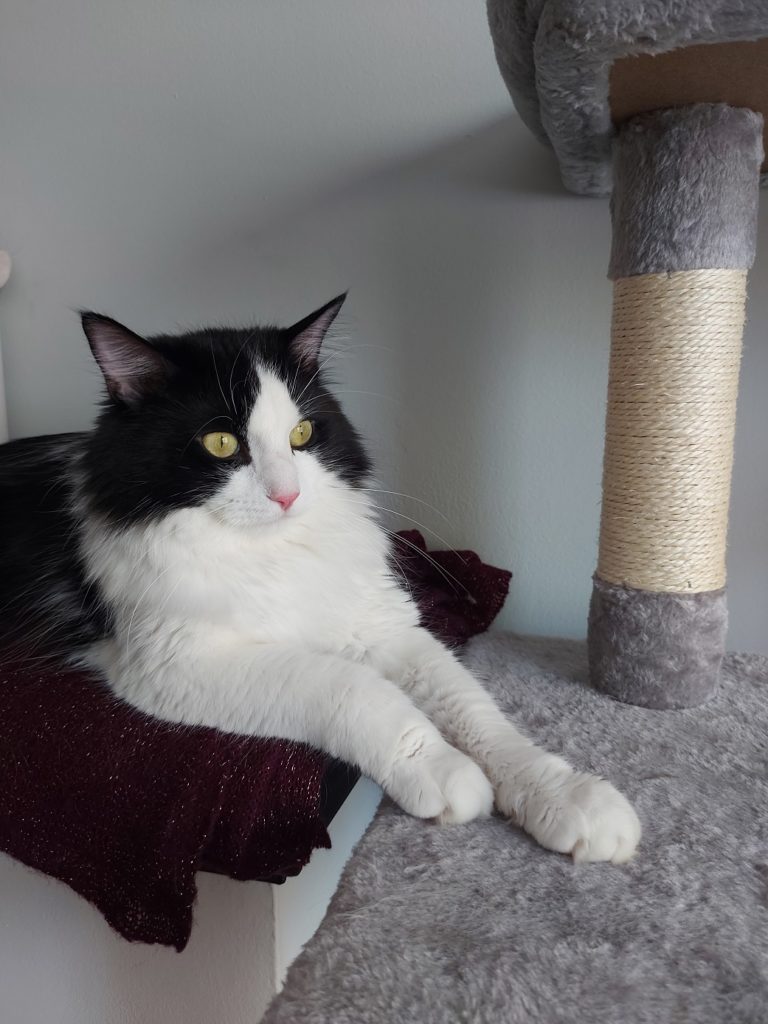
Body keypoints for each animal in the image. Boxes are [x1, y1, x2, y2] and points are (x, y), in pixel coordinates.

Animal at [0, 299, 638, 864]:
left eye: (302, 434)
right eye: (221, 443)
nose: (287, 495)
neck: (269, 556)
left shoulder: (383, 627)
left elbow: (480, 716)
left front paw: (568, 799)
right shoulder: (176, 661)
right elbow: (353, 689)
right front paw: (441, 770)